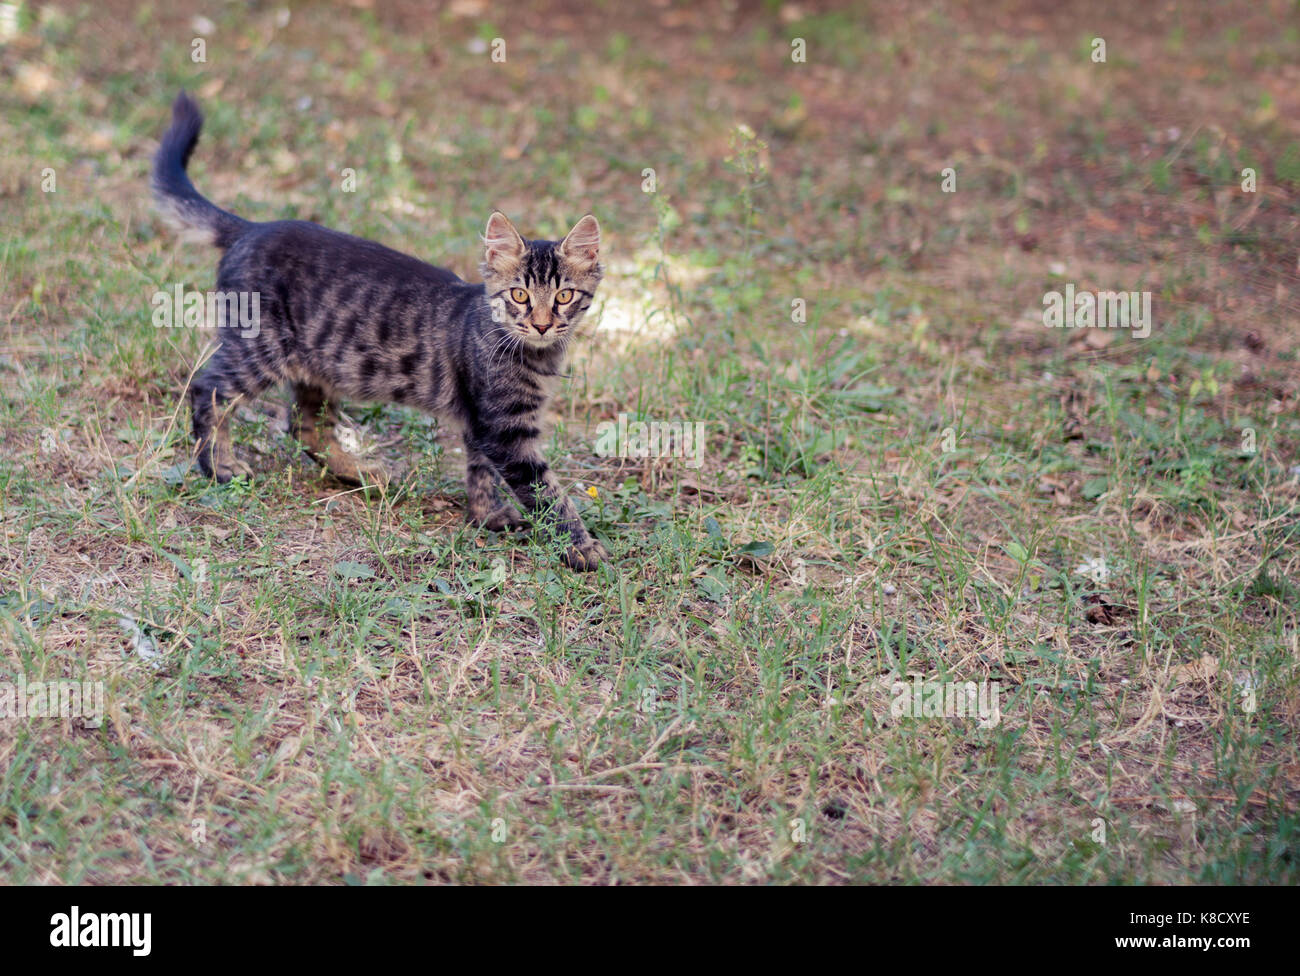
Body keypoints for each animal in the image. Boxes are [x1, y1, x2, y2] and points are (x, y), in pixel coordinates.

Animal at [152, 94, 608, 569]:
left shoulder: (481, 421)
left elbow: (480, 471)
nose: (541, 324)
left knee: (303, 426)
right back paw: (218, 466)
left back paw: (364, 474)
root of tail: (253, 228)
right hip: (259, 349)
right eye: (520, 295)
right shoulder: (504, 429)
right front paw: (581, 546)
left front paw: (488, 516)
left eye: (563, 297)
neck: (532, 352)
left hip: (321, 365)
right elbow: (548, 493)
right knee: (208, 388)